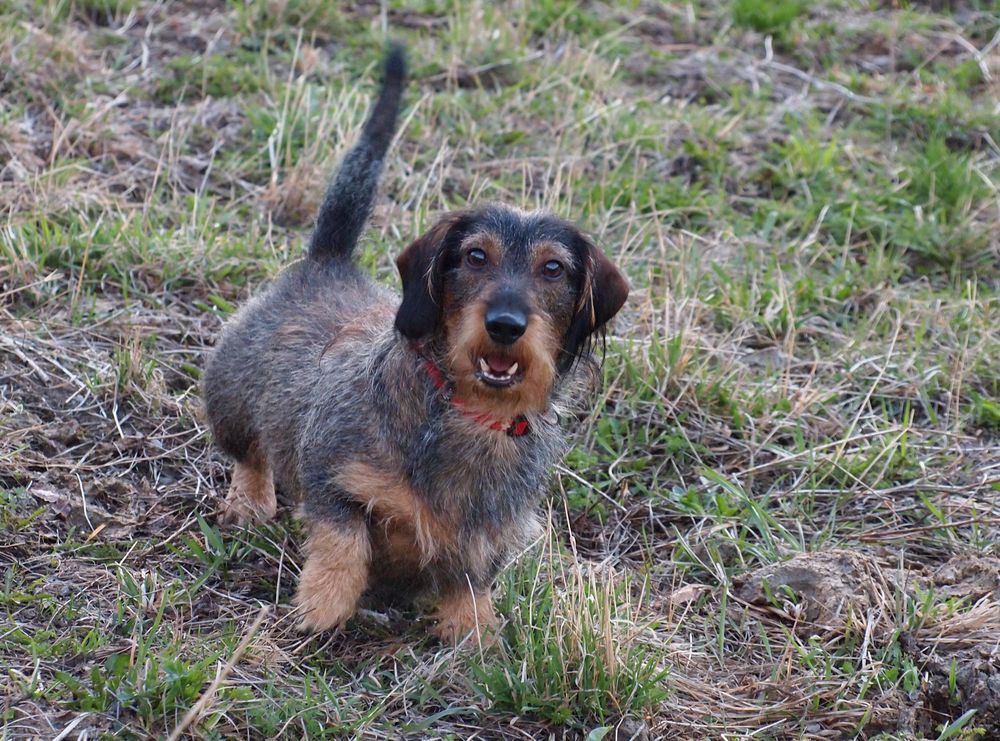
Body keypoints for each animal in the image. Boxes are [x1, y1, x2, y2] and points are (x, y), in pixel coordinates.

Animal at [200, 44, 628, 640]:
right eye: (475, 255)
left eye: (554, 269)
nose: (505, 325)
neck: (466, 412)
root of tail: (328, 263)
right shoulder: (331, 474)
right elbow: (343, 542)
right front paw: (322, 605)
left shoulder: (488, 534)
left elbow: (471, 581)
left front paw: (475, 634)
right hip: (232, 401)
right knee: (250, 455)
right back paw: (250, 500)